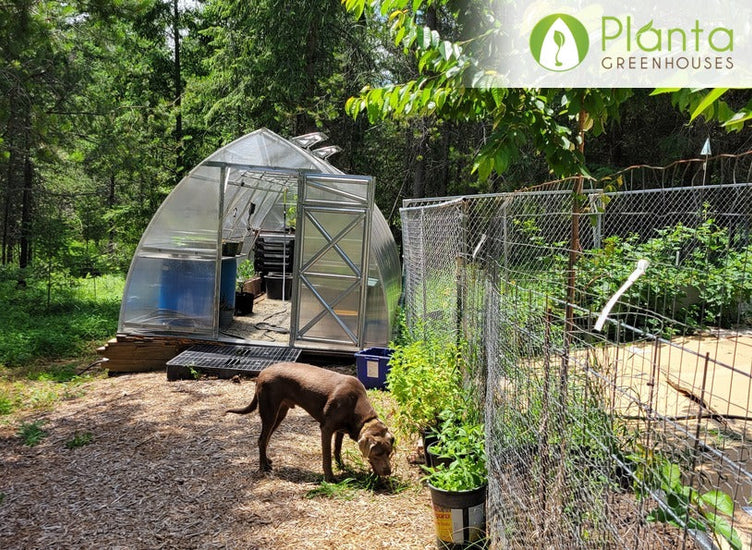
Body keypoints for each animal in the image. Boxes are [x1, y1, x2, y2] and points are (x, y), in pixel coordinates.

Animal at [226, 364, 396, 480]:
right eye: (377, 453)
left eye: (389, 453)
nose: (388, 472)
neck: (355, 405)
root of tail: (262, 373)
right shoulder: (326, 428)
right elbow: (327, 456)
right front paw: (330, 478)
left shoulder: (340, 430)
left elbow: (337, 449)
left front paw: (342, 466)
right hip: (269, 412)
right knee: (261, 439)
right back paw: (263, 467)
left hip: (280, 413)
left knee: (266, 439)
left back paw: (267, 461)